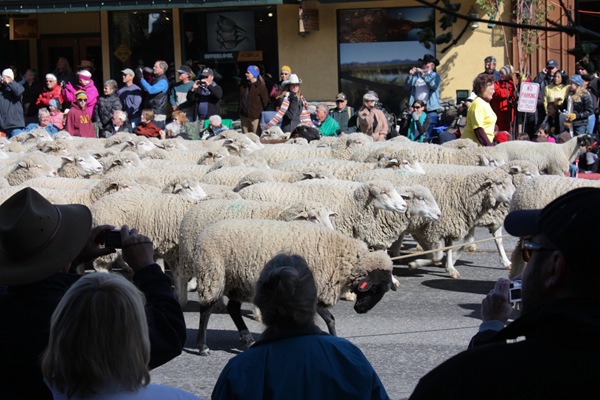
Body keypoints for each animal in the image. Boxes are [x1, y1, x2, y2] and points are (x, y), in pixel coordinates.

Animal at [185, 220, 396, 354]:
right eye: (374, 289)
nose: (361, 310)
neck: (341, 258)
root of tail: (202, 235)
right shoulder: (315, 291)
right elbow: (330, 318)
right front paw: (334, 338)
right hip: (213, 274)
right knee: (206, 309)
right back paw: (202, 347)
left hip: (236, 281)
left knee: (233, 309)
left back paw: (248, 339)